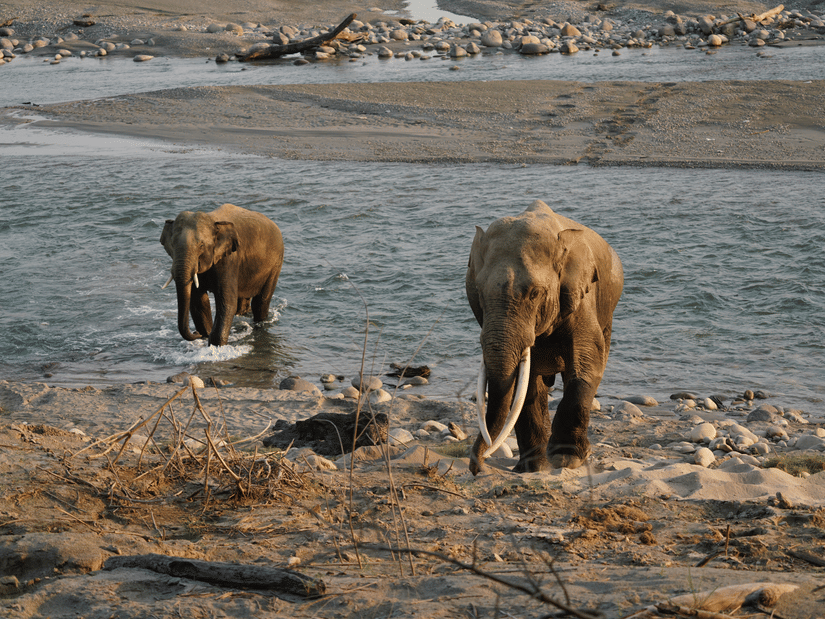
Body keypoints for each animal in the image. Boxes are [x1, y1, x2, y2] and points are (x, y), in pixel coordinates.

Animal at [160, 203, 284, 346]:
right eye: (172, 244)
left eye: (201, 245)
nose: (196, 333)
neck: (213, 220)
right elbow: (198, 301)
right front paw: (206, 336)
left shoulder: (229, 260)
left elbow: (227, 302)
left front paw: (215, 345)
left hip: (276, 263)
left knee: (261, 302)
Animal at [466, 200, 623, 475]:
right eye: (480, 292)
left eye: (535, 293)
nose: (477, 467)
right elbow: (524, 383)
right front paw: (532, 469)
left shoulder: (582, 298)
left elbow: (586, 364)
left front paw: (566, 460)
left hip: (608, 313)